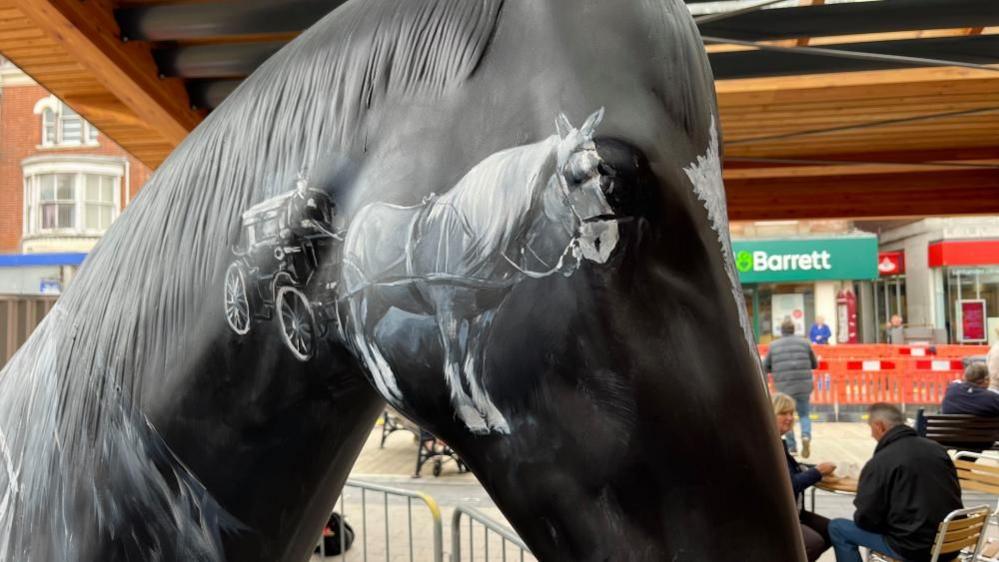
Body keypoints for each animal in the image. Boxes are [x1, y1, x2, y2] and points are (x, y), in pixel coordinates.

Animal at [344, 109, 616, 434]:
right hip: (359, 296)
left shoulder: (485, 315)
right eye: (572, 177)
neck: (472, 239)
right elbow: (452, 358)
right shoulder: (447, 313)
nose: (604, 240)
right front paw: (469, 414)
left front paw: (491, 413)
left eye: (601, 172)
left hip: (382, 300)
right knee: (359, 334)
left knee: (370, 333)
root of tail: (359, 218)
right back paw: (386, 382)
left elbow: (474, 361)